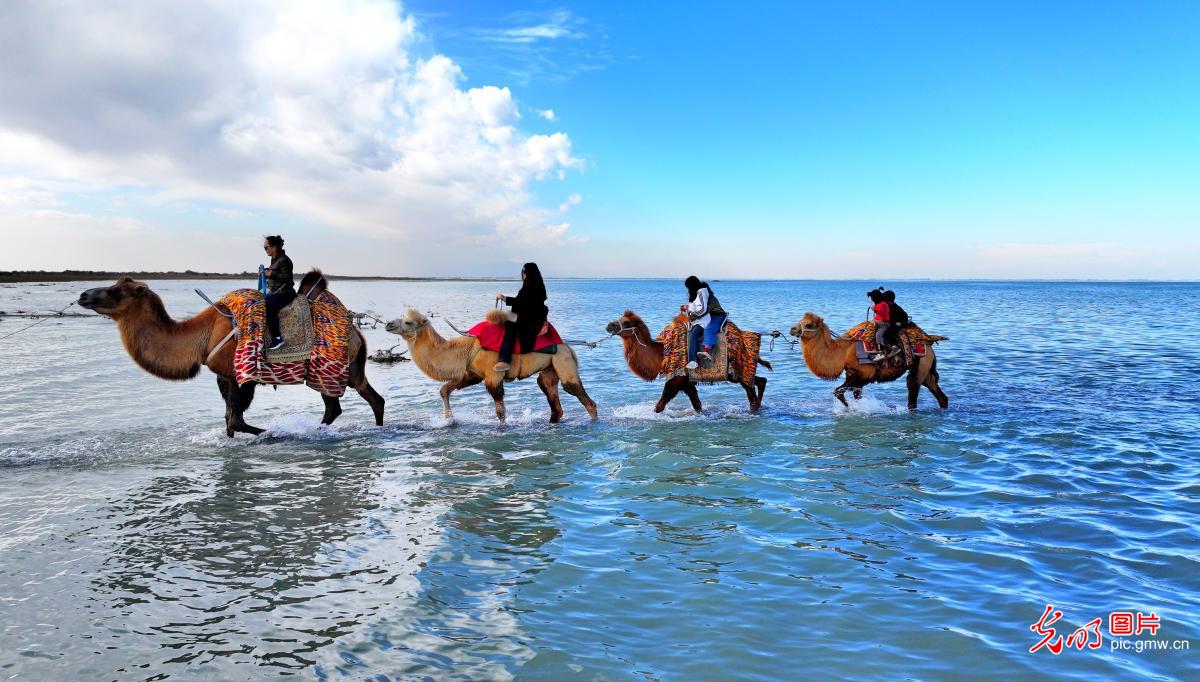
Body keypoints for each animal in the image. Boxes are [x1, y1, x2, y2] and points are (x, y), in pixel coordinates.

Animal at [77, 271, 384, 437]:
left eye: (117, 291)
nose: (83, 295)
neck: (202, 337)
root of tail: (357, 333)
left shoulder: (239, 375)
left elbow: (237, 419)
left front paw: (278, 433)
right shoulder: (224, 376)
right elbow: (229, 421)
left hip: (331, 370)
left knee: (346, 403)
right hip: (341, 371)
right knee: (359, 402)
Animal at [386, 309, 597, 427]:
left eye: (408, 322)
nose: (388, 324)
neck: (465, 349)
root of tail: (568, 346)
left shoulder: (492, 376)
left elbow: (500, 412)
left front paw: (502, 429)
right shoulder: (472, 374)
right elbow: (444, 390)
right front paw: (449, 418)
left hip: (563, 363)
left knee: (582, 396)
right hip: (549, 369)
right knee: (552, 398)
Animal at [787, 312, 945, 410]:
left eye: (809, 325)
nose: (792, 329)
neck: (842, 352)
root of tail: (929, 342)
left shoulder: (865, 374)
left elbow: (838, 391)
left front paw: (848, 407)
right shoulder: (852, 374)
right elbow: (855, 394)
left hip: (921, 361)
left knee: (912, 386)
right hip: (926, 367)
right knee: (936, 390)